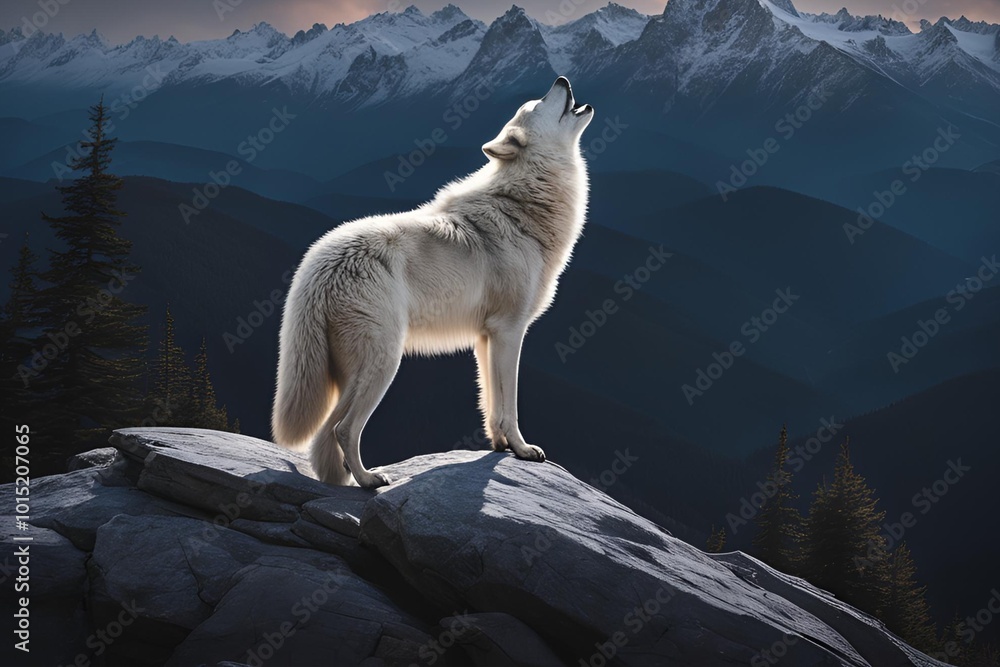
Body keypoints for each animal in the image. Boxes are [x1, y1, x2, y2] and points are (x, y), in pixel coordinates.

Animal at [272, 76, 594, 487]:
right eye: (538, 103)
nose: (561, 80)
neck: (522, 207)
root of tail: (319, 263)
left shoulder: (485, 339)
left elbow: (491, 404)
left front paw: (500, 446)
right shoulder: (510, 331)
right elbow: (510, 405)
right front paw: (522, 449)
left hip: (351, 372)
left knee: (325, 434)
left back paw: (338, 481)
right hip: (384, 363)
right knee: (342, 428)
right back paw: (369, 480)